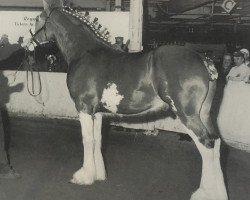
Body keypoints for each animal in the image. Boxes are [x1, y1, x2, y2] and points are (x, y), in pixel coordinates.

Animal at [28, 0, 228, 199]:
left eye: (37, 18)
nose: (29, 44)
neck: (85, 52)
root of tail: (202, 59)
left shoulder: (83, 107)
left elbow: (87, 139)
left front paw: (84, 176)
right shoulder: (97, 112)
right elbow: (97, 139)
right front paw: (99, 174)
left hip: (187, 115)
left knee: (206, 144)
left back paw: (204, 193)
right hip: (204, 114)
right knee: (216, 143)